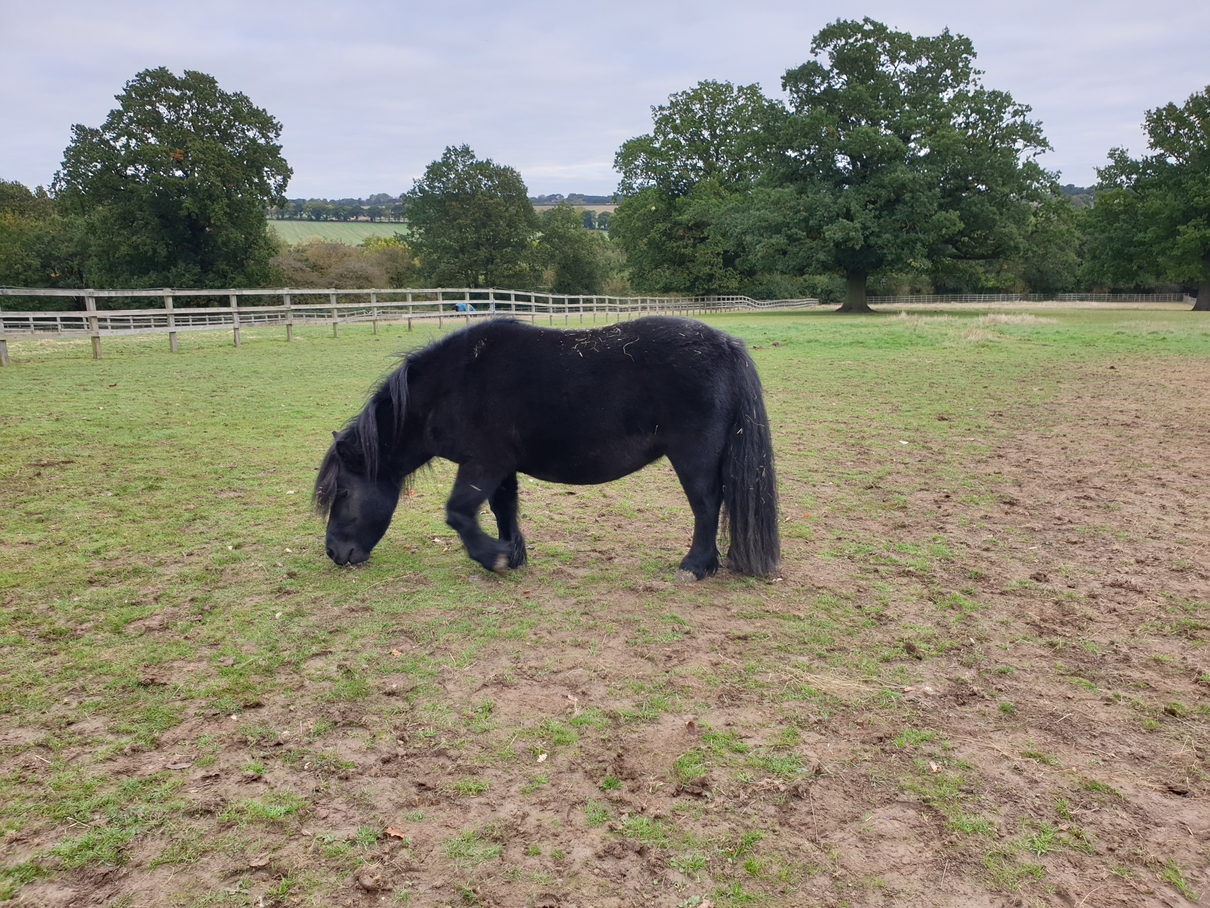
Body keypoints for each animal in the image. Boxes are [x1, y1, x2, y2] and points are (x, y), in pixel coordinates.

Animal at [317, 317, 779, 578]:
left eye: (343, 492)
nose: (334, 553)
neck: (453, 386)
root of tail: (726, 346)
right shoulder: (500, 467)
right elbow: (503, 509)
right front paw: (512, 554)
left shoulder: (482, 463)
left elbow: (459, 513)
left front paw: (492, 558)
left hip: (694, 458)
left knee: (707, 506)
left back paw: (696, 566)